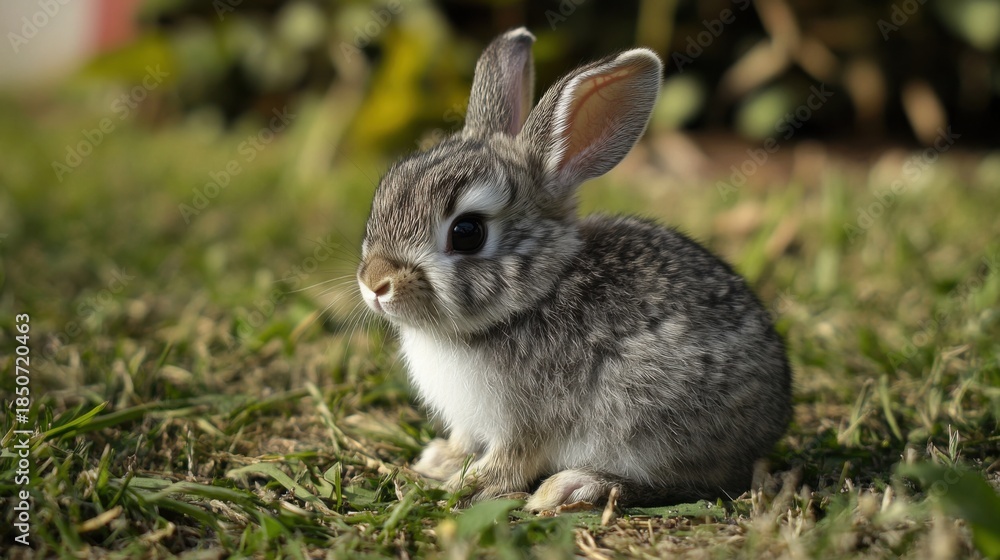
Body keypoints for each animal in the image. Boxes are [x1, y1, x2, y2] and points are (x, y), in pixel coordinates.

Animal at [356, 27, 792, 511]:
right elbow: (465, 440)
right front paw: (439, 460)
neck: (531, 297)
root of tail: (772, 419)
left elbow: (511, 461)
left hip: (651, 423)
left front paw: (466, 485)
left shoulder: (527, 421)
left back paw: (574, 486)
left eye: (467, 232)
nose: (375, 283)